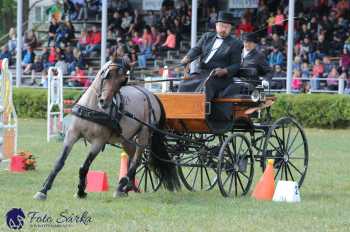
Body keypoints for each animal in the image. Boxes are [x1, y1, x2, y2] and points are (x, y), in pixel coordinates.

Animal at [33, 59, 180, 200]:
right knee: (132, 158)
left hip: (144, 134)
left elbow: (84, 167)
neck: (92, 109)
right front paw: (43, 190)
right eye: (108, 76)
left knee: (137, 160)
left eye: (122, 82)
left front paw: (81, 191)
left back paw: (121, 186)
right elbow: (59, 162)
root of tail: (151, 95)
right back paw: (127, 187)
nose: (105, 102)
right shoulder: (72, 135)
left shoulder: (98, 142)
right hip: (126, 139)